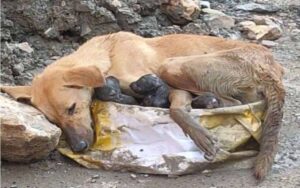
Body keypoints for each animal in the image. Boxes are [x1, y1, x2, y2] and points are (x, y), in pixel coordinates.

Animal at [1, 31, 284, 180]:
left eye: (72, 109)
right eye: (55, 122)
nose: (79, 148)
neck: (109, 55)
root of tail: (271, 64)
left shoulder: (169, 86)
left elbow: (175, 108)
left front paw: (198, 133)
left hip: (173, 65)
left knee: (230, 102)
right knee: (232, 102)